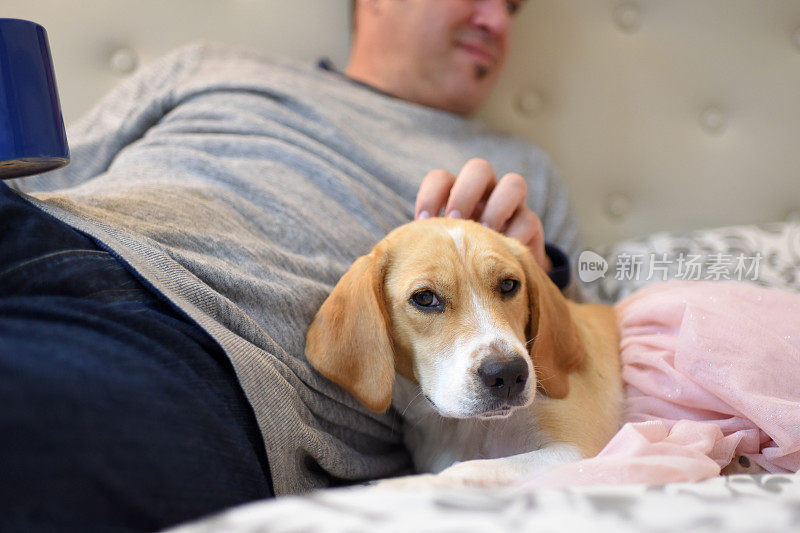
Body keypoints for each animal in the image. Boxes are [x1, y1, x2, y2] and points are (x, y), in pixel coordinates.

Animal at [304, 217, 620, 486]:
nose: (508, 373)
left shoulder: (577, 451)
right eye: (424, 298)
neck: (465, 429)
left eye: (508, 284)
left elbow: (465, 470)